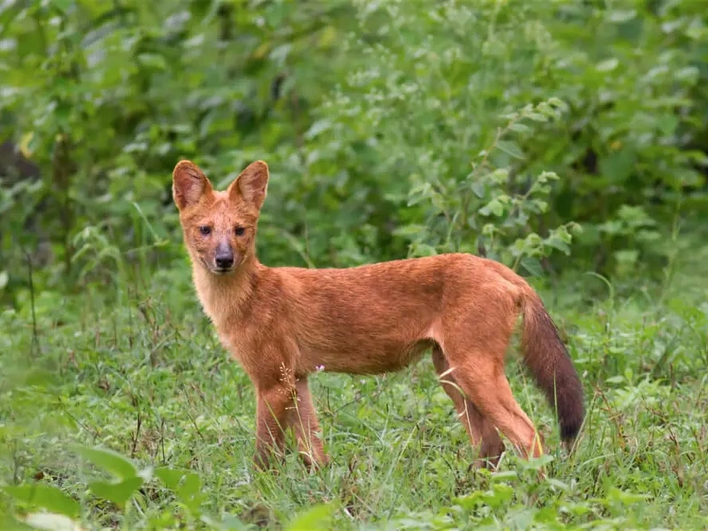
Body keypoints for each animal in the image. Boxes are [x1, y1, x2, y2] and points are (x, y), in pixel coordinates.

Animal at [173, 158, 588, 470]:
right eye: (205, 230)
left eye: (240, 230)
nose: (224, 259)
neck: (246, 298)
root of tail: (495, 266)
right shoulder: (298, 380)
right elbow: (314, 456)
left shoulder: (272, 383)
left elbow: (264, 460)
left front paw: (258, 501)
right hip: (451, 375)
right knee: (492, 446)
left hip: (473, 373)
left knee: (529, 435)